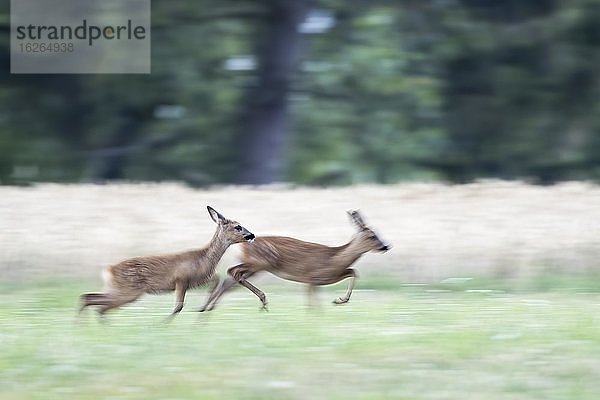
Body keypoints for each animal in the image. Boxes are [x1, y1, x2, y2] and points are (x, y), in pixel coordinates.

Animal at [79, 208, 253, 318]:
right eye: (238, 227)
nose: (251, 235)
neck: (204, 259)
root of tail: (108, 270)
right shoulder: (181, 279)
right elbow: (178, 307)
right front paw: (162, 324)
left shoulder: (197, 280)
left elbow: (216, 279)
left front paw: (203, 307)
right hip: (127, 290)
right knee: (99, 305)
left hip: (117, 289)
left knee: (90, 299)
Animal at [199, 211, 392, 310]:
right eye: (372, 236)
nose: (386, 246)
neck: (334, 259)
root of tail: (244, 244)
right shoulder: (311, 277)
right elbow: (312, 304)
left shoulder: (327, 277)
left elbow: (353, 271)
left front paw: (339, 300)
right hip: (259, 263)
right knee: (232, 272)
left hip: (255, 268)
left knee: (230, 280)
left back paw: (206, 308)